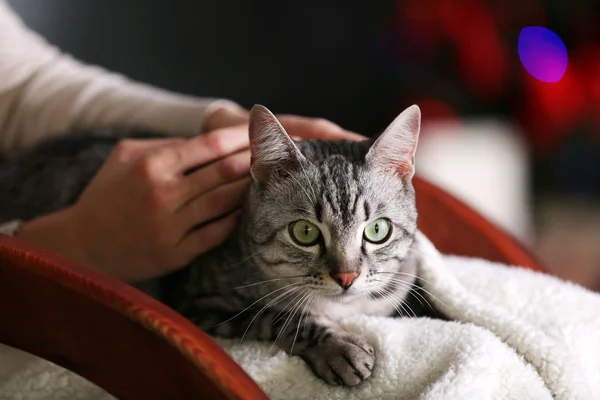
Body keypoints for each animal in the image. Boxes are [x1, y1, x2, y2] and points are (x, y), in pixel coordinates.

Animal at [2, 104, 428, 386]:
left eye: (377, 230)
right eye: (305, 233)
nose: (346, 276)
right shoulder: (200, 304)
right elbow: (279, 318)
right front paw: (339, 348)